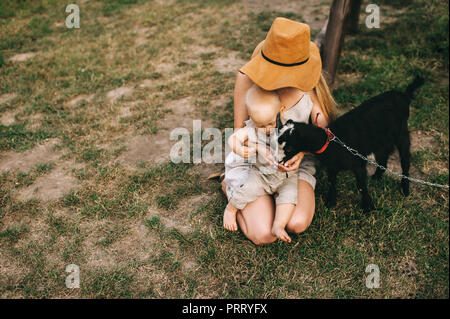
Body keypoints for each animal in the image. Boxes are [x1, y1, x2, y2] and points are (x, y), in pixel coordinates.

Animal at [278, 76, 426, 214]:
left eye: (289, 147)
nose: (278, 163)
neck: (330, 143)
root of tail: (403, 95)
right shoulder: (332, 166)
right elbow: (332, 182)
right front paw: (331, 201)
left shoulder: (358, 164)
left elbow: (361, 185)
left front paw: (368, 207)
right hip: (379, 141)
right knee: (383, 157)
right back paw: (377, 177)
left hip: (402, 134)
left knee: (405, 161)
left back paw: (405, 188)